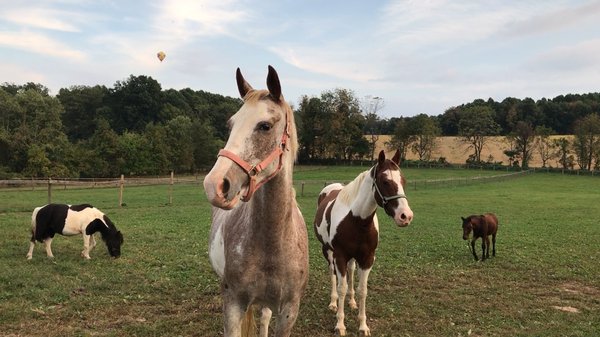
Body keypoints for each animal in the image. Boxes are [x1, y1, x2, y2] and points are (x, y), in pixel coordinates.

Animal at [314, 150, 412, 336]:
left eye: (403, 180)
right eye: (385, 181)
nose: (405, 216)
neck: (356, 220)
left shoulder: (367, 258)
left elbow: (362, 291)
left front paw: (362, 325)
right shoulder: (340, 256)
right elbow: (341, 287)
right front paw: (340, 325)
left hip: (353, 258)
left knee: (351, 272)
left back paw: (351, 302)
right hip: (328, 251)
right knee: (332, 274)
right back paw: (333, 303)